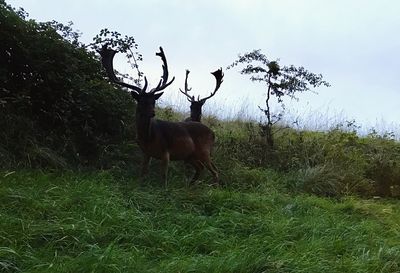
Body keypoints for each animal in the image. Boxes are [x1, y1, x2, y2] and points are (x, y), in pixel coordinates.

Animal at [99, 45, 219, 187]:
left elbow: (163, 177)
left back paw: (213, 187)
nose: (152, 113)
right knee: (200, 168)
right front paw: (139, 186)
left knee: (214, 171)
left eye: (153, 101)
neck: (148, 136)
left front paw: (164, 190)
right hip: (190, 155)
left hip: (204, 151)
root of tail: (213, 133)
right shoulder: (146, 153)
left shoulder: (166, 151)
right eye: (142, 101)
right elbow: (142, 173)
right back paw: (190, 186)